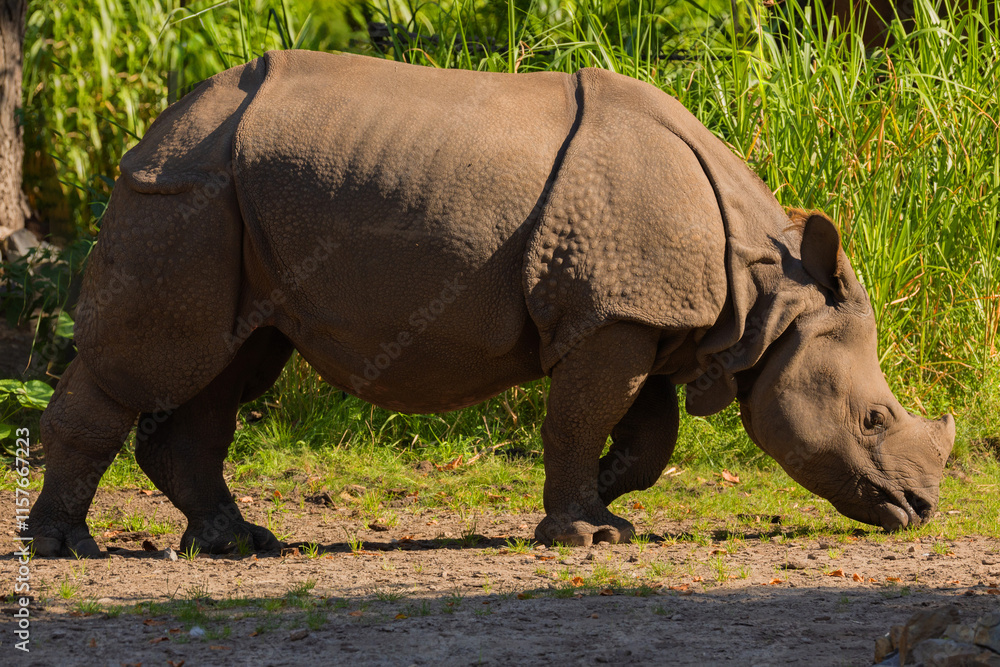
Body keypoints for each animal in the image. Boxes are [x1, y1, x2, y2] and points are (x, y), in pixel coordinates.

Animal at [26, 51, 955, 556]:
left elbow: (646, 436)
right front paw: (587, 534)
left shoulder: (640, 313)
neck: (768, 291)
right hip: (184, 190)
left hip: (233, 195)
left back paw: (236, 545)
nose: (920, 510)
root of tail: (162, 122)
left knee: (229, 362)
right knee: (149, 363)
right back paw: (69, 550)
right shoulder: (616, 313)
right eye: (874, 418)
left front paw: (604, 500)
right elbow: (583, 416)